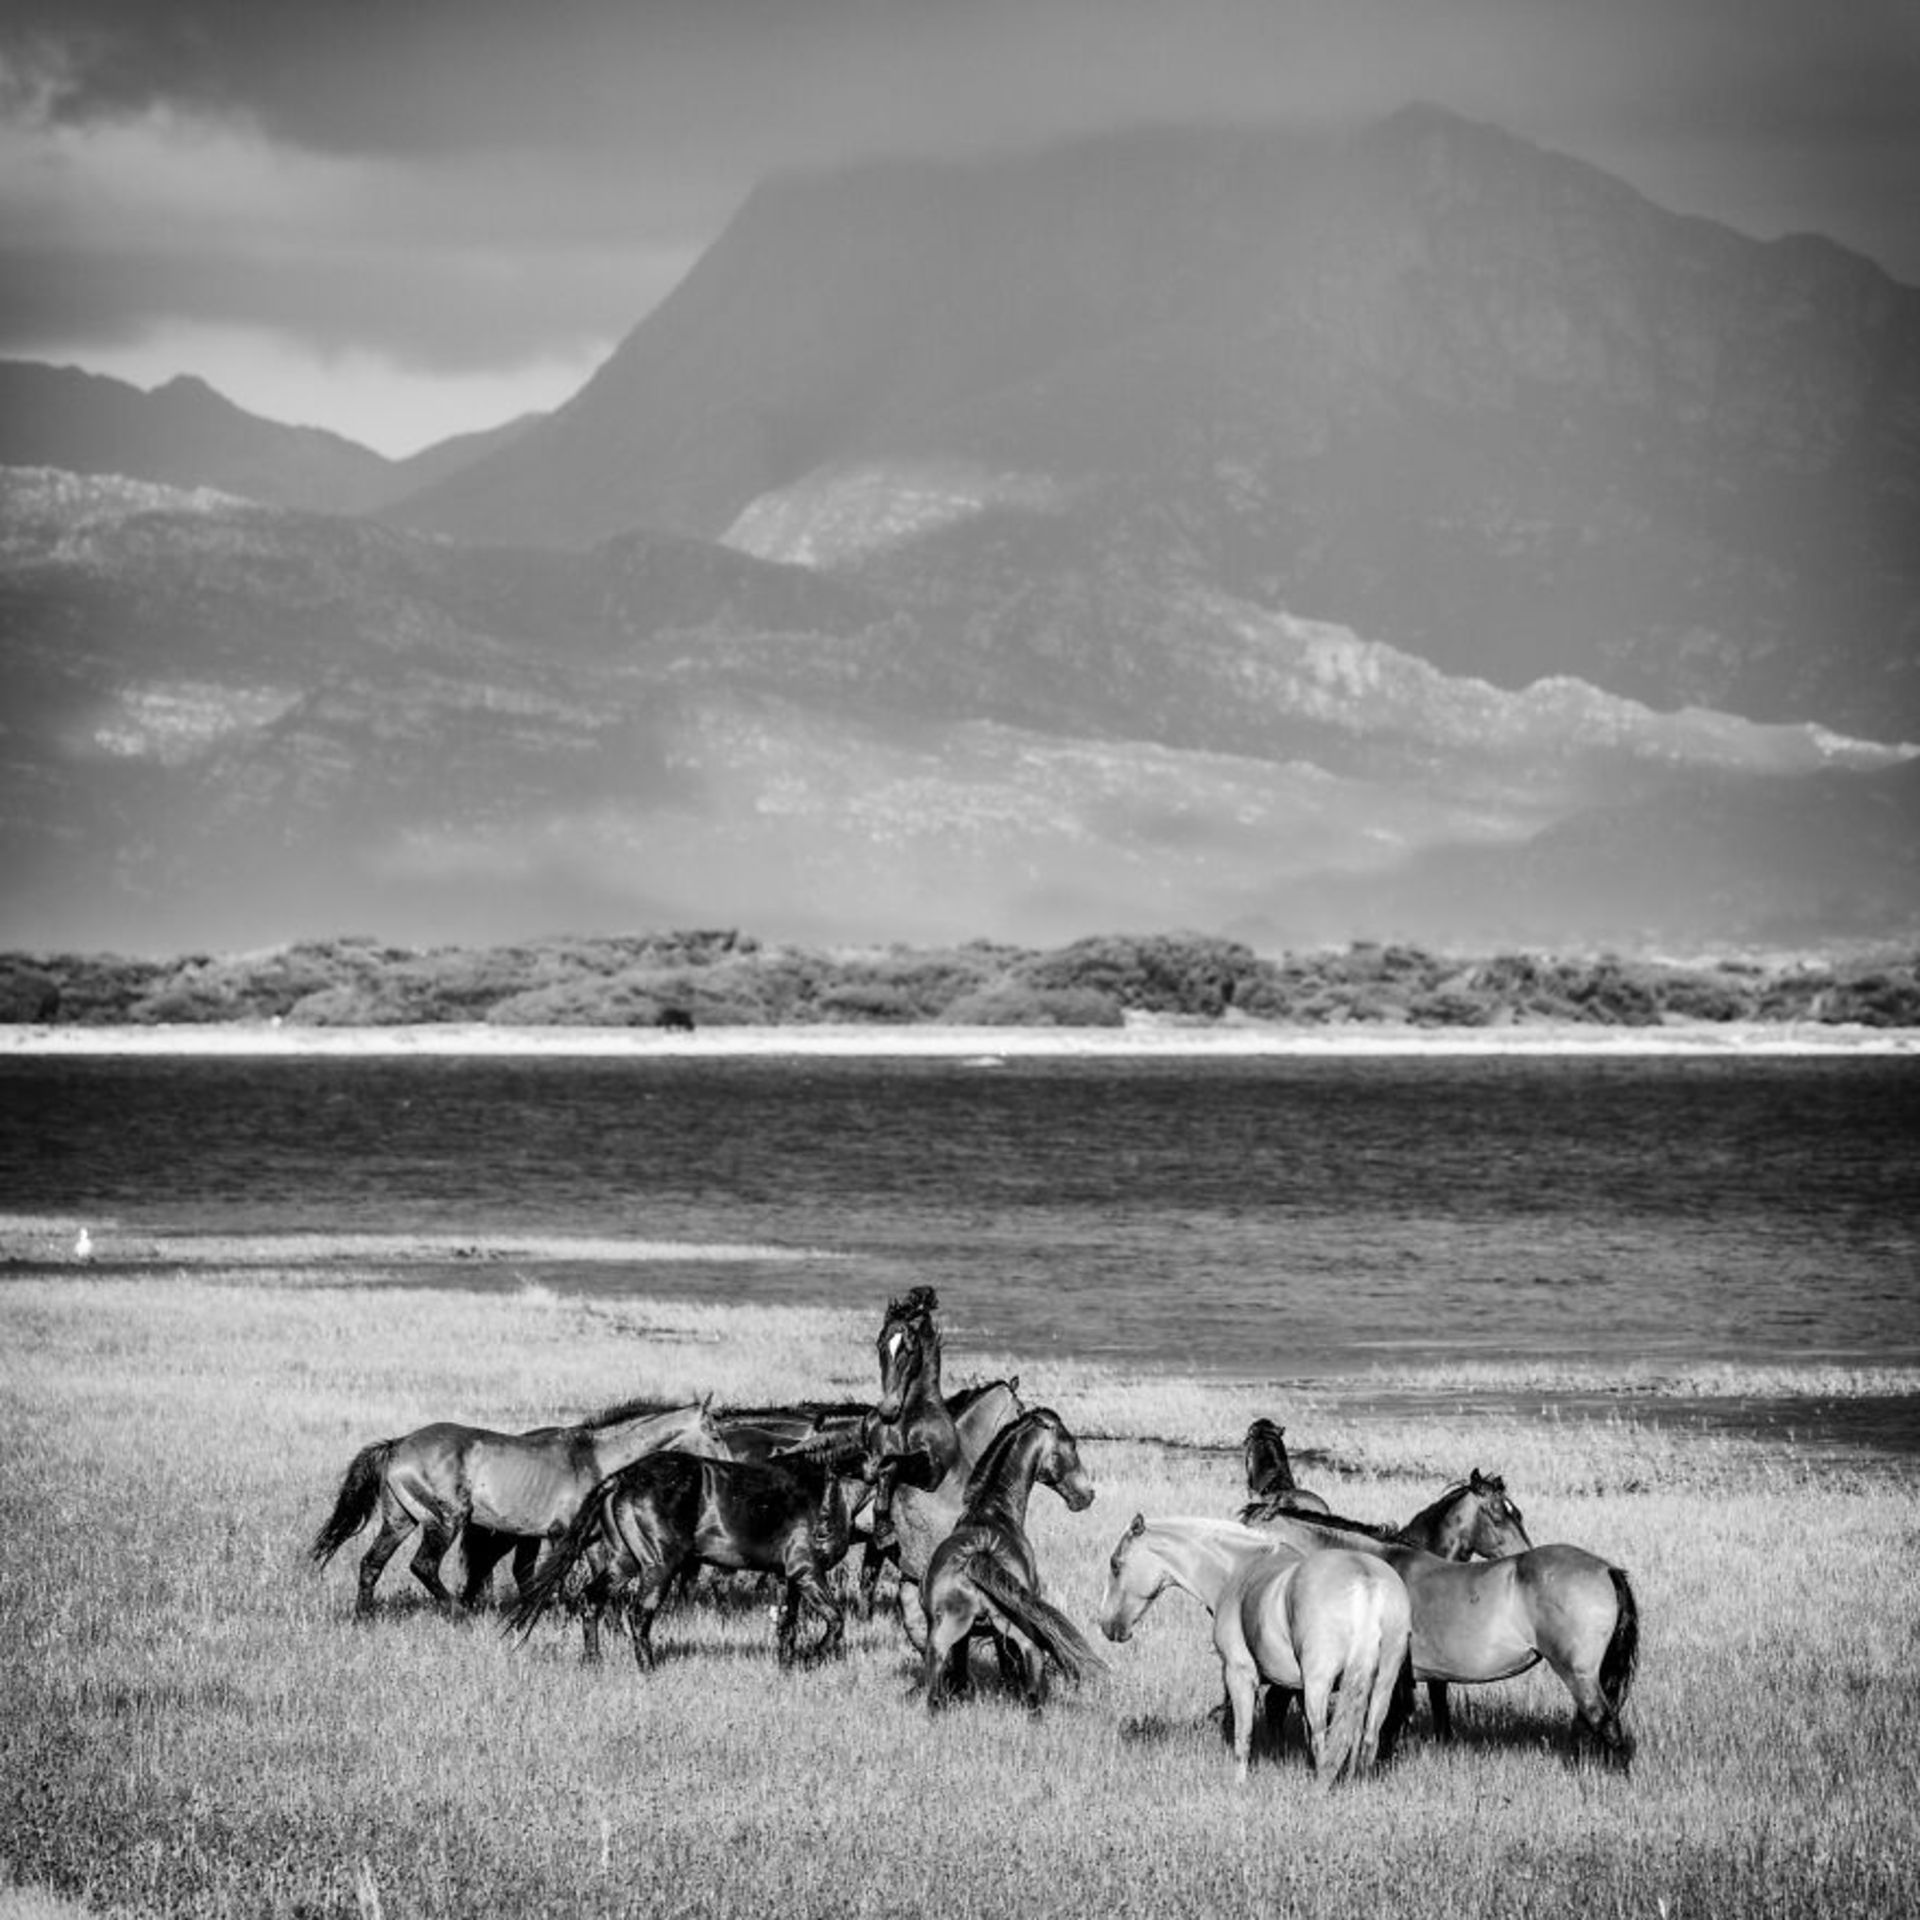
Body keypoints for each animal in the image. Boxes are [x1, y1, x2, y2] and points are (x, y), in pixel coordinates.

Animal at [309, 1395, 724, 1616]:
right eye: (716, 1433)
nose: (724, 1465)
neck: (596, 1458)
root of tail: (398, 1445)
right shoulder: (562, 1535)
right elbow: (552, 1577)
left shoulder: (558, 1537)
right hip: (445, 1520)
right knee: (423, 1566)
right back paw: (458, 1612)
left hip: (400, 1521)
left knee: (372, 1562)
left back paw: (364, 1616)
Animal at [507, 1445, 866, 1669]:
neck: (830, 1489)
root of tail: (622, 1478)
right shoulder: (807, 1571)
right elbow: (834, 1620)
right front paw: (812, 1658)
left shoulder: (788, 1577)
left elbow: (787, 1625)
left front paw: (788, 1665)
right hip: (659, 1566)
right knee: (638, 1615)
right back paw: (648, 1668)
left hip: (624, 1562)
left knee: (592, 1598)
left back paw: (593, 1660)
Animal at [921, 1407, 1104, 1714]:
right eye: (1072, 1444)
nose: (1086, 1495)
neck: (993, 1512)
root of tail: (977, 1557)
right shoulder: (1001, 1635)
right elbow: (1010, 1672)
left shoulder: (965, 1640)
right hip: (1024, 1637)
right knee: (1033, 1691)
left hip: (942, 1639)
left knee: (933, 1694)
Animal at [1099, 1514, 1414, 1783]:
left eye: (1116, 1564)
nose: (1106, 1625)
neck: (1241, 1568)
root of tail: (1366, 1579)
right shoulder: (1291, 1687)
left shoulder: (1240, 1675)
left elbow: (1244, 1735)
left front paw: (1239, 1784)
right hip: (1382, 1684)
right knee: (1368, 1735)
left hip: (1319, 1684)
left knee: (1324, 1739)